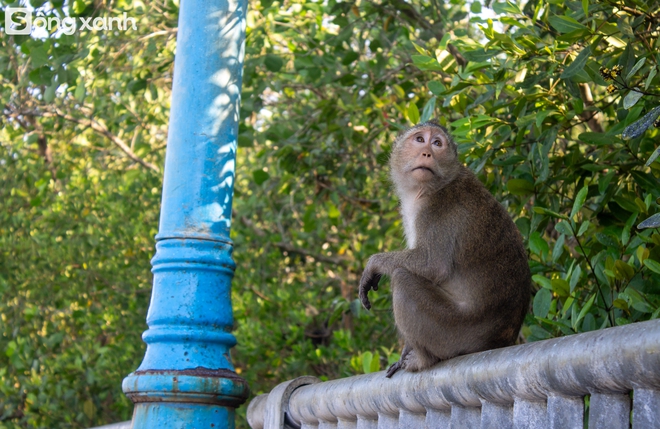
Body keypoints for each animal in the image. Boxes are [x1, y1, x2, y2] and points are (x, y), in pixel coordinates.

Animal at [360, 121, 532, 378]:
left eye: (437, 143)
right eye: (420, 140)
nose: (427, 153)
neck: (433, 187)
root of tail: (501, 339)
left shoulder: (436, 211)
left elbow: (432, 265)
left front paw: (374, 264)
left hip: (453, 331)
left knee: (402, 278)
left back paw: (423, 359)